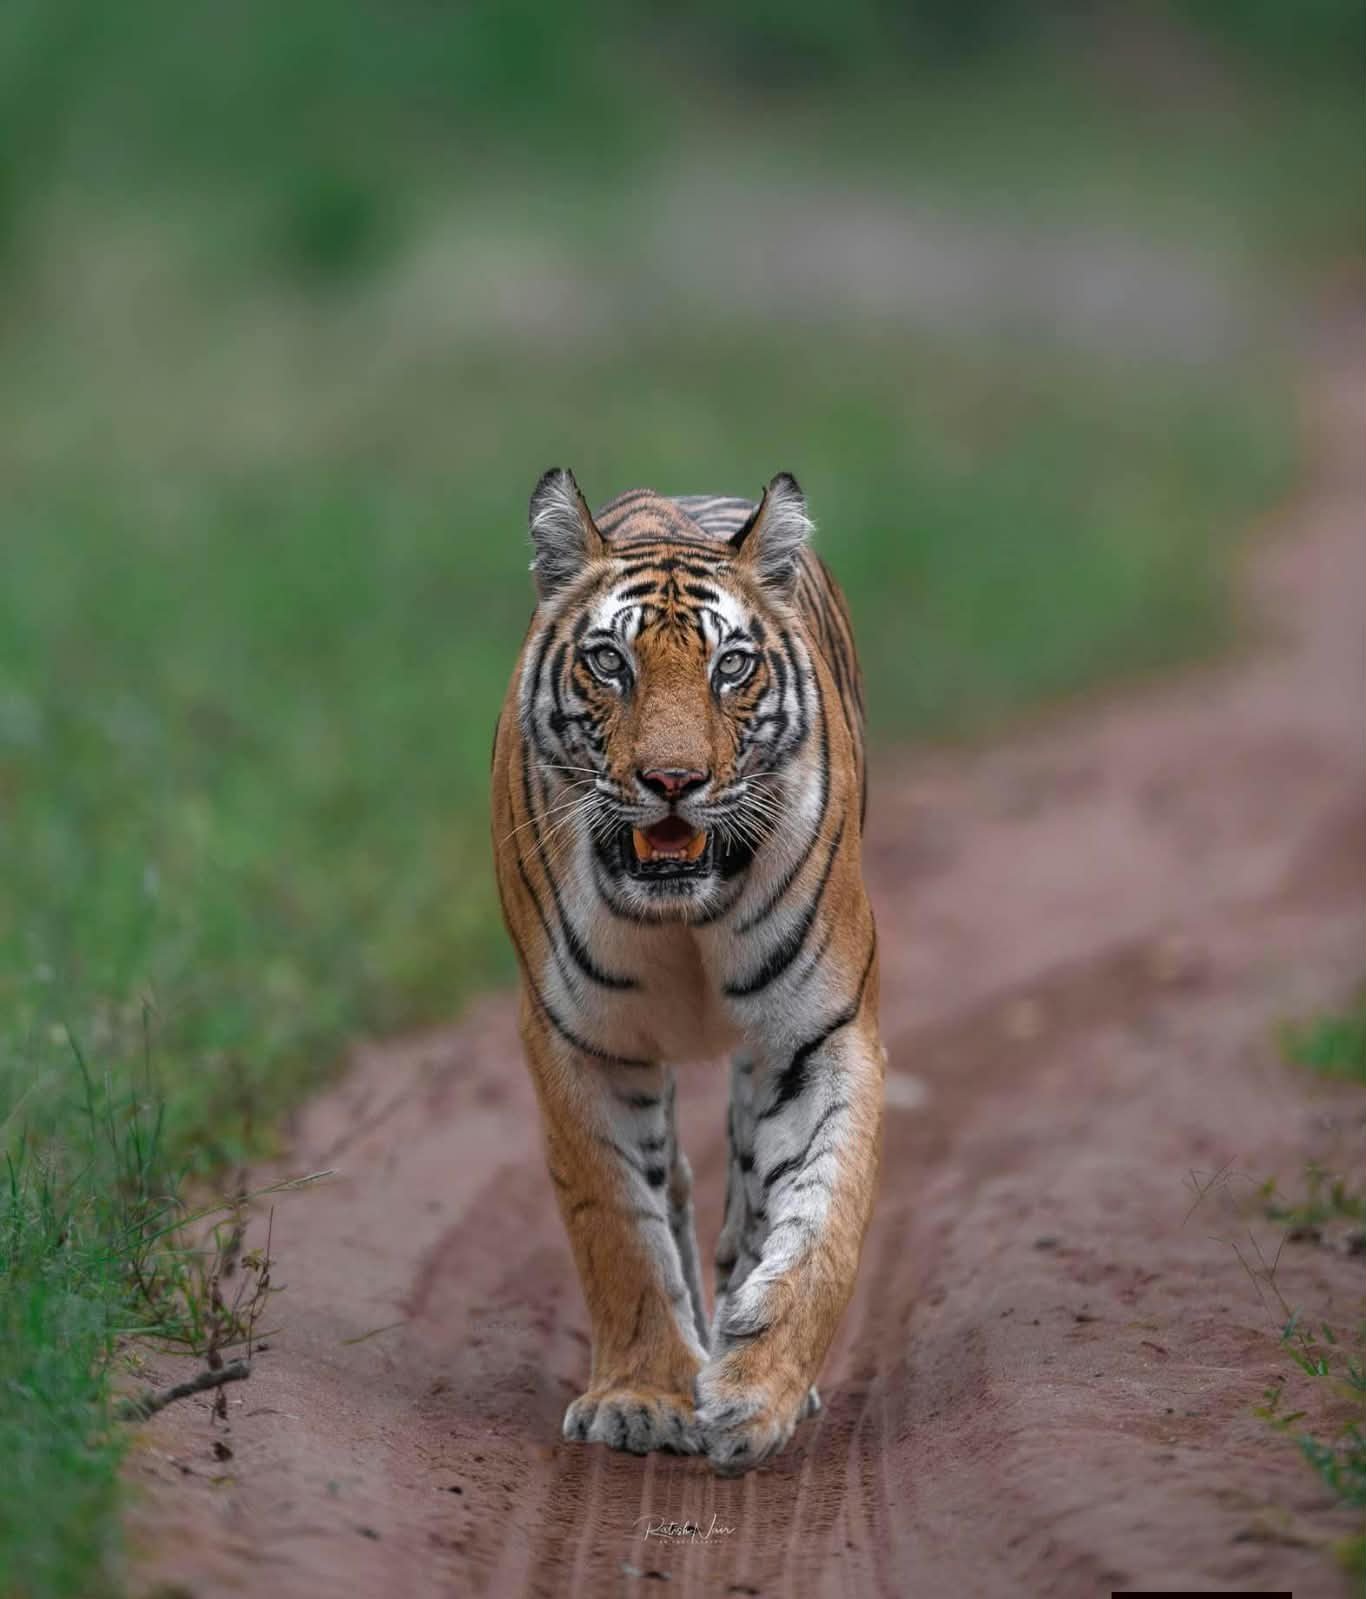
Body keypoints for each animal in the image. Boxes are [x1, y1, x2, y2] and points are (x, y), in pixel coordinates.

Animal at [489, 468, 883, 1473]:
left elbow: (824, 1218)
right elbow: (617, 1222)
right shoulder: (580, 1039)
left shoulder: (820, 1030)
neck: (683, 913)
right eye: (609, 663)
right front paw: (645, 1396)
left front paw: (758, 1391)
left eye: (730, 668)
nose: (673, 780)